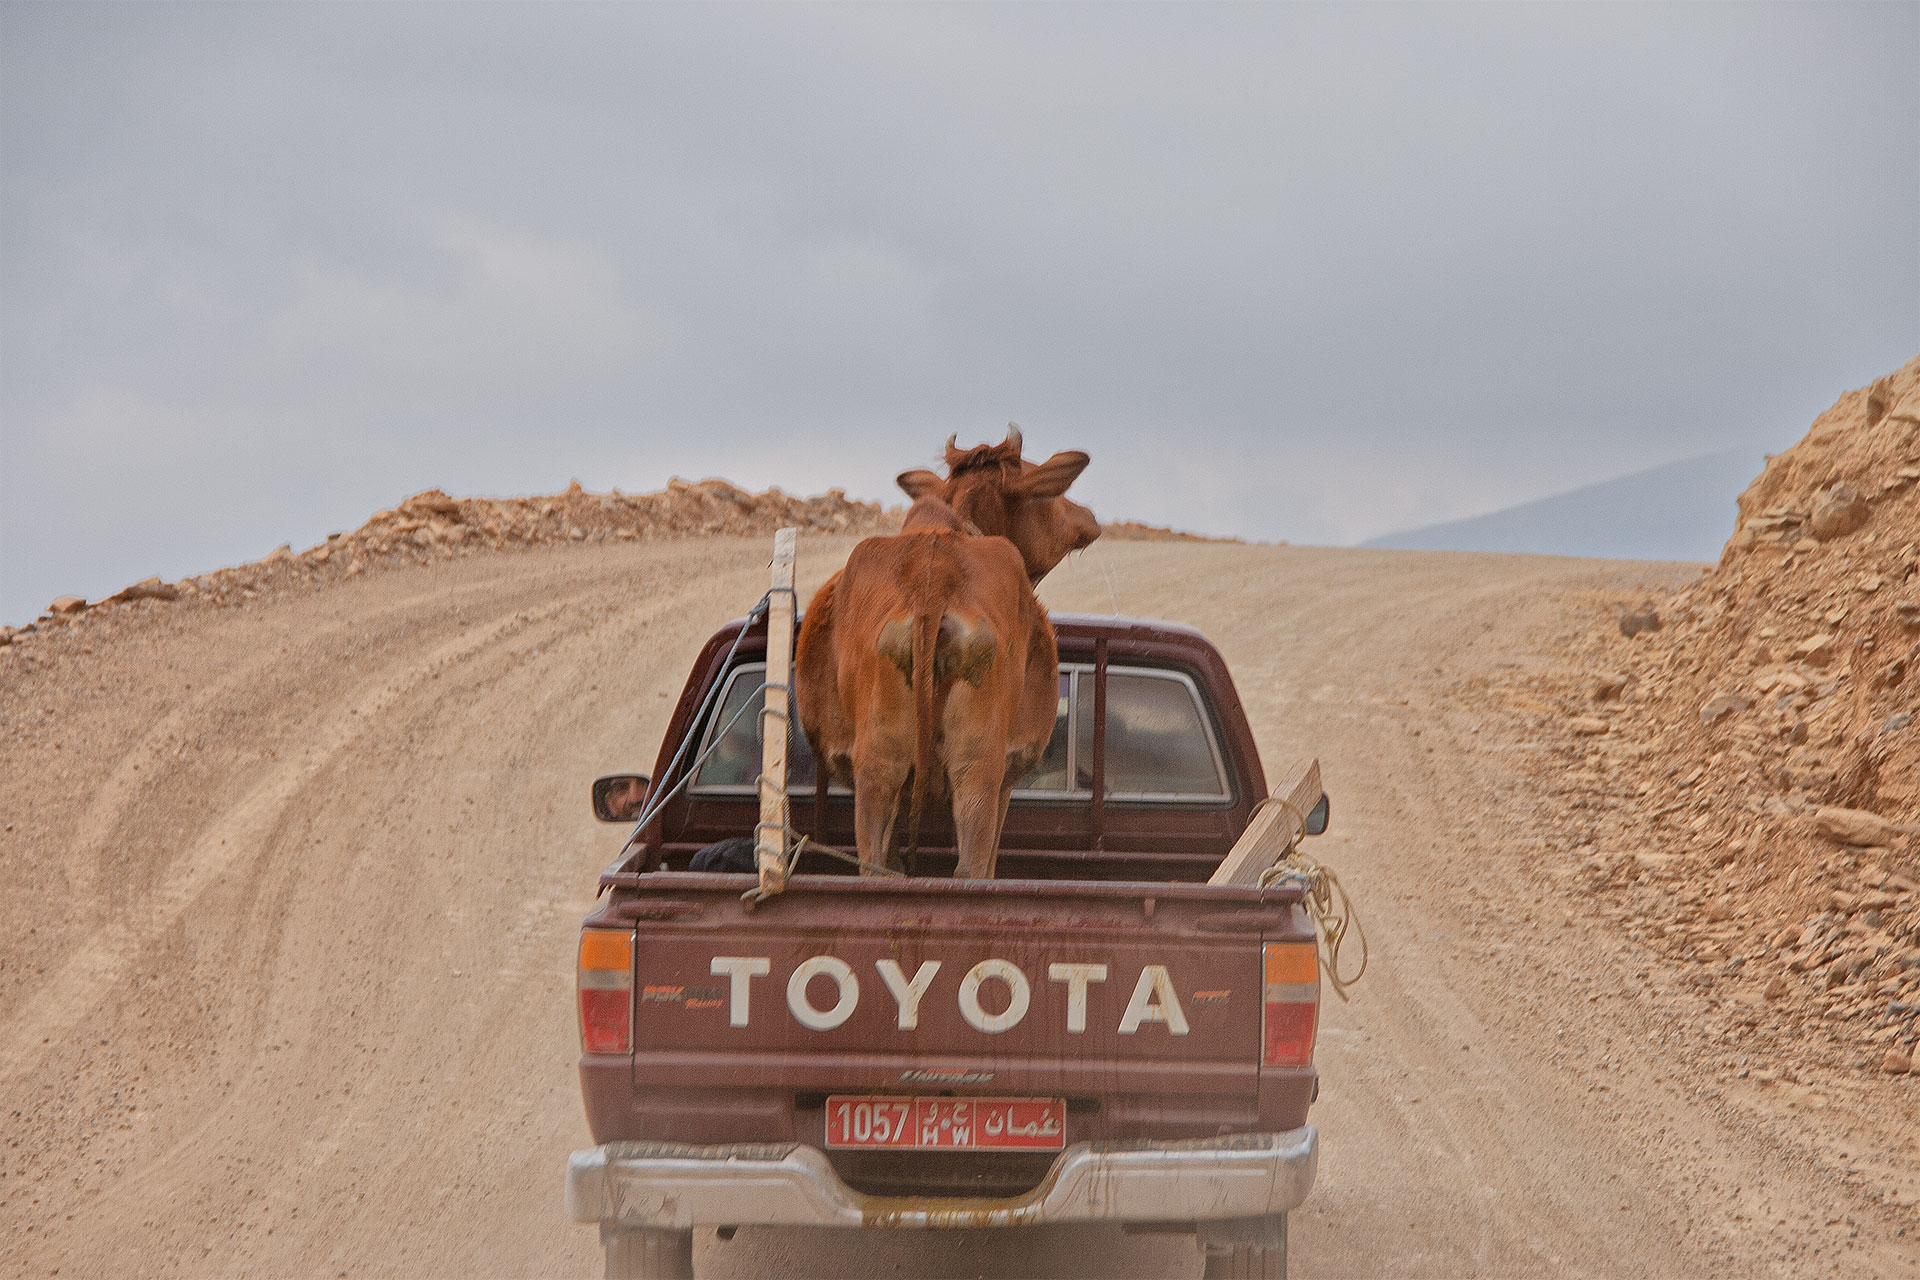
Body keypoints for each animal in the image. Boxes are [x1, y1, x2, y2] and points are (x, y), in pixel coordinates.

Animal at [794, 429, 1098, 878]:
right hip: (978, 771)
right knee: (971, 869)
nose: (1088, 515)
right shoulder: (1006, 781)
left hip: (880, 769)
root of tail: (932, 578)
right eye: (1052, 494)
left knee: (876, 866)